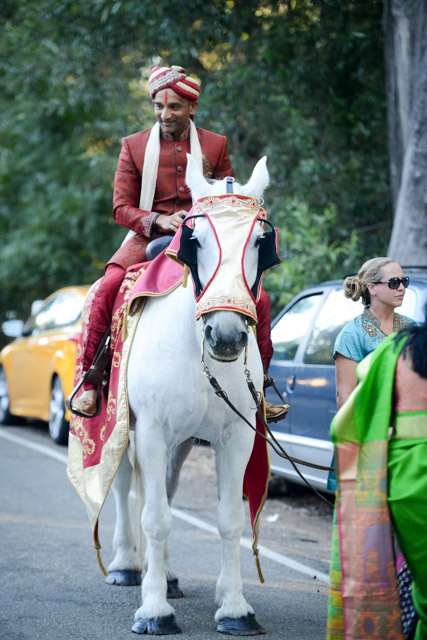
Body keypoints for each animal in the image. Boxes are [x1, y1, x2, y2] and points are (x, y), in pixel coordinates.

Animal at [108, 154, 276, 636]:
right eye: (194, 239)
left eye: (260, 241)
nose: (226, 335)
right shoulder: (149, 432)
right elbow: (155, 517)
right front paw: (154, 610)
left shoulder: (236, 436)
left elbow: (229, 520)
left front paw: (235, 607)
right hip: (119, 428)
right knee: (126, 488)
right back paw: (127, 565)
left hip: (181, 443)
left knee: (163, 487)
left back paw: (166, 574)